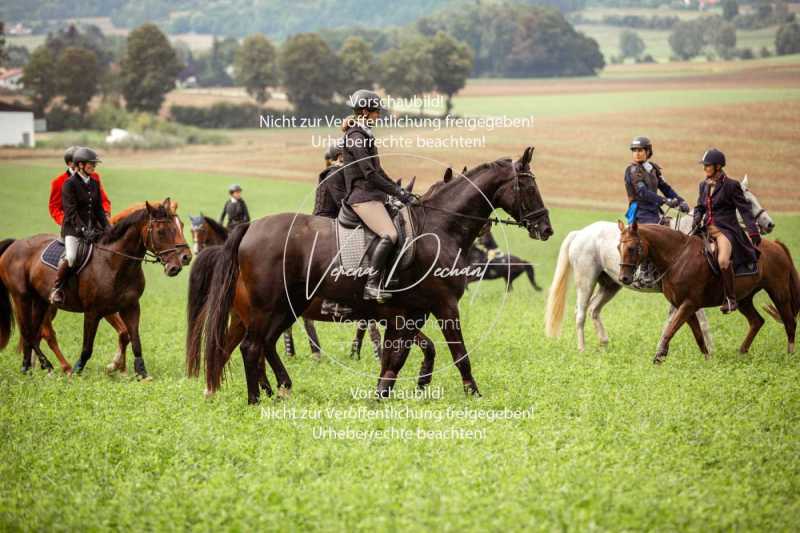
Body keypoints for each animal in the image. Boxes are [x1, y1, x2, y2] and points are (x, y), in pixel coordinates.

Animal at [0, 200, 192, 378]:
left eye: (181, 225)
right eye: (161, 231)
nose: (184, 259)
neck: (114, 262)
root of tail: (15, 244)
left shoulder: (131, 307)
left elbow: (134, 339)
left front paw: (139, 372)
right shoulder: (94, 312)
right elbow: (88, 347)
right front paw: (81, 370)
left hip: (40, 301)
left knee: (34, 333)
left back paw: (29, 367)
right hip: (22, 298)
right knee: (32, 332)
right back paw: (56, 367)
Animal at [196, 147, 552, 404]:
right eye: (529, 185)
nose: (546, 228)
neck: (441, 228)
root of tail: (249, 229)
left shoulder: (408, 312)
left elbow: (398, 357)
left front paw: (385, 393)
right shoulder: (443, 306)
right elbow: (457, 353)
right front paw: (473, 394)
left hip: (285, 308)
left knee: (259, 345)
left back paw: (275, 388)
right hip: (266, 307)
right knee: (249, 347)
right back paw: (255, 398)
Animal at [540, 177, 772, 352]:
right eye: (746, 201)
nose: (769, 224)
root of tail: (581, 232)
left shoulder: (679, 296)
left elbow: (671, 320)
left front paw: (663, 346)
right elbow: (703, 322)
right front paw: (711, 350)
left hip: (611, 283)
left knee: (594, 309)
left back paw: (604, 343)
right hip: (586, 280)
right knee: (580, 313)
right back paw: (582, 349)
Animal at [616, 220, 796, 362]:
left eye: (632, 248)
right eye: (618, 247)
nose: (623, 278)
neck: (677, 257)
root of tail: (776, 245)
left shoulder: (689, 304)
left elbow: (670, 329)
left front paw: (658, 357)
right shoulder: (683, 305)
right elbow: (698, 336)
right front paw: (708, 360)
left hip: (779, 293)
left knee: (789, 323)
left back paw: (790, 355)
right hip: (744, 299)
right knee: (757, 321)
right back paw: (741, 352)